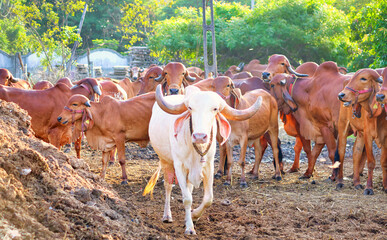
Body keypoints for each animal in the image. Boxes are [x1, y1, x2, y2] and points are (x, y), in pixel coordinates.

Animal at [144, 84, 262, 234]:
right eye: (190, 108)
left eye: (215, 108)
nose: (199, 136)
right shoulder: (179, 166)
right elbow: (187, 198)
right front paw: (189, 227)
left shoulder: (208, 166)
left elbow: (208, 199)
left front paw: (194, 215)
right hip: (165, 161)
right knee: (168, 186)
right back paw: (167, 215)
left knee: (188, 188)